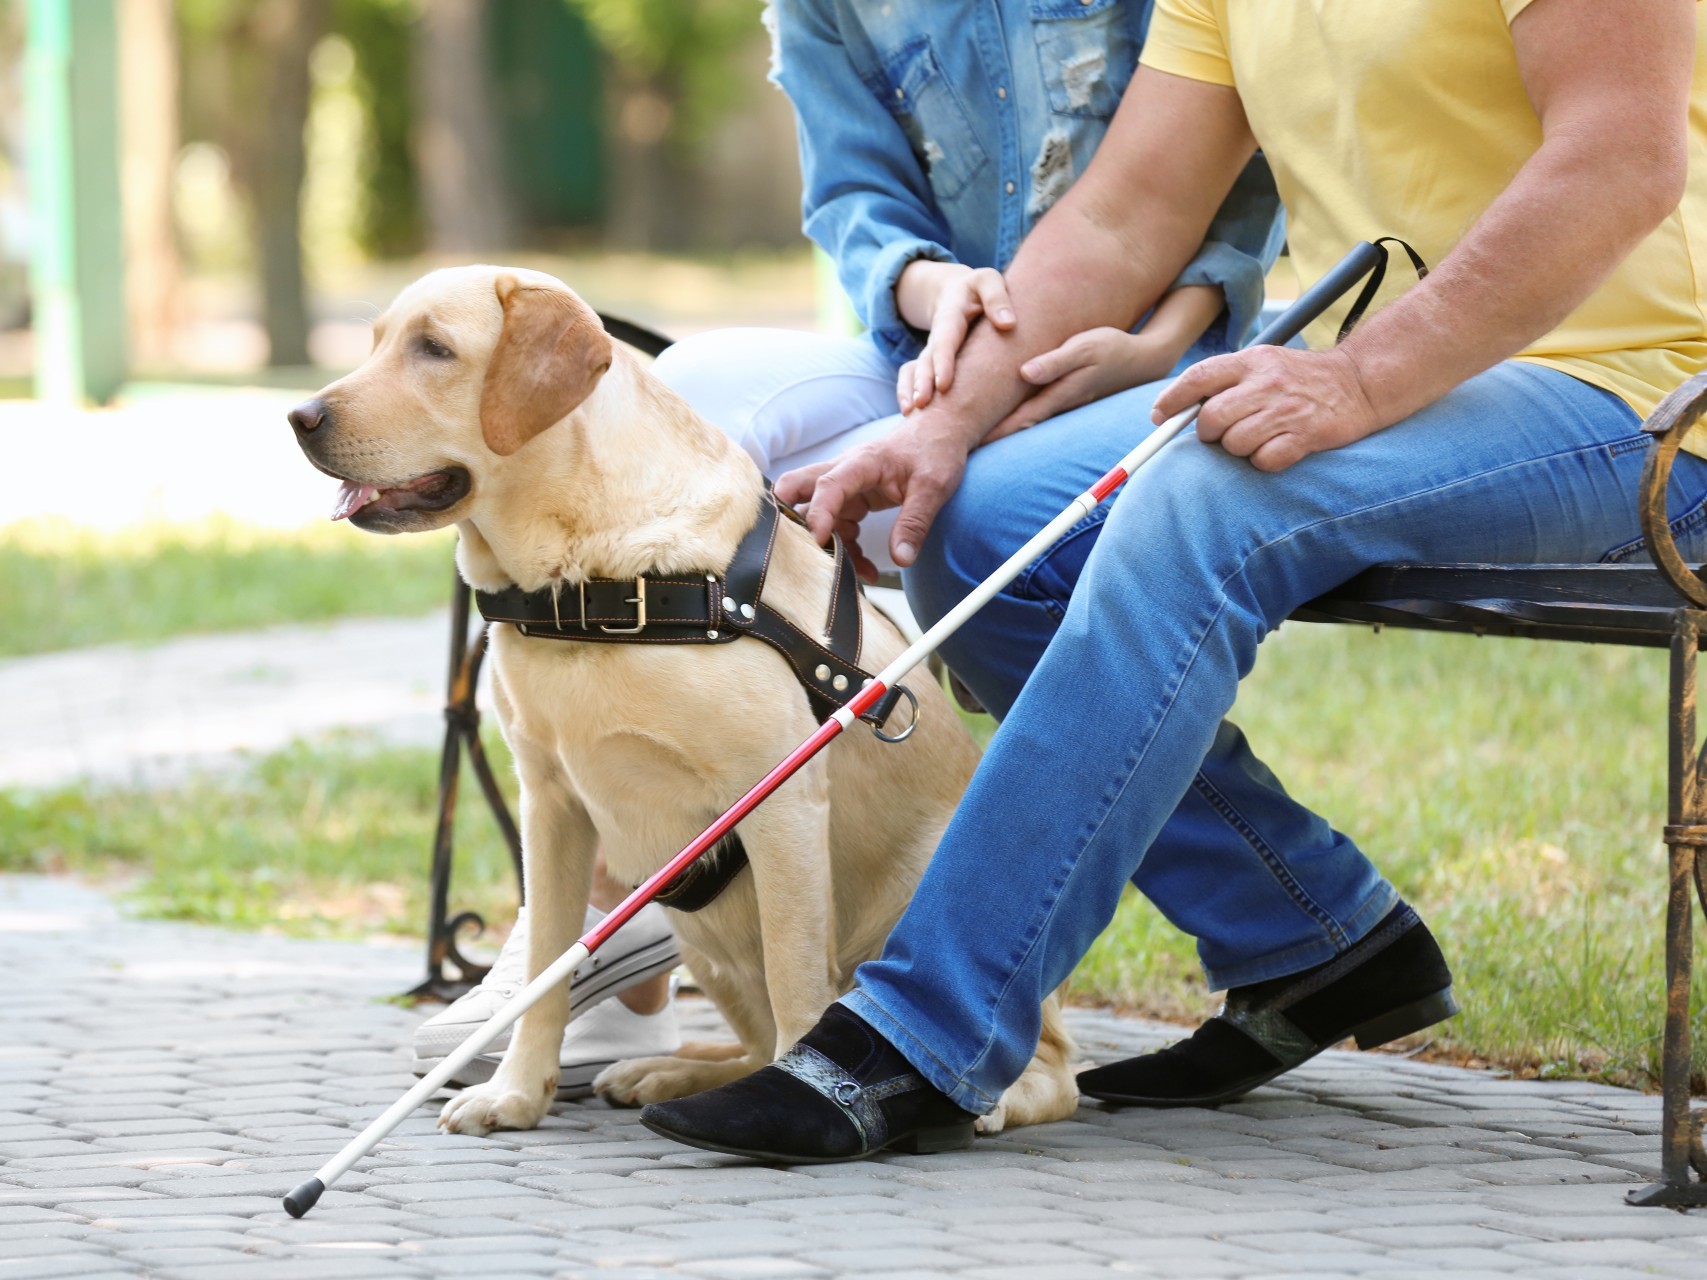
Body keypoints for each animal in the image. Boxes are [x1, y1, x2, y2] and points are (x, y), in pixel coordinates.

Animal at [285, 266, 1071, 1140]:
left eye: (435, 349)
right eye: (377, 342)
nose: (300, 416)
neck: (584, 580)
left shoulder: (781, 802)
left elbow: (797, 981)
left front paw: (797, 1100)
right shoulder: (549, 806)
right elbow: (545, 967)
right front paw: (518, 1092)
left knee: (1043, 1063)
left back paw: (990, 1102)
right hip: (698, 931)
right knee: (752, 1042)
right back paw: (669, 1072)